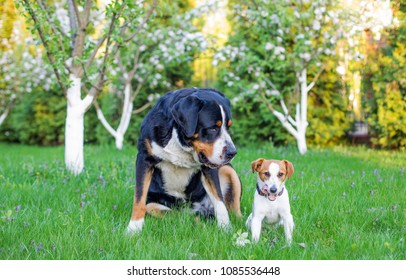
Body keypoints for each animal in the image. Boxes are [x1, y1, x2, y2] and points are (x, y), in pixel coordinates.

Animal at [127, 87, 241, 234]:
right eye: (212, 128)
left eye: (228, 127)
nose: (232, 152)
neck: (180, 142)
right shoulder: (144, 159)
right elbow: (139, 198)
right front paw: (133, 228)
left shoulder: (209, 167)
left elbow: (219, 200)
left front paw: (225, 228)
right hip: (155, 203)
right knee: (172, 212)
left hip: (227, 169)